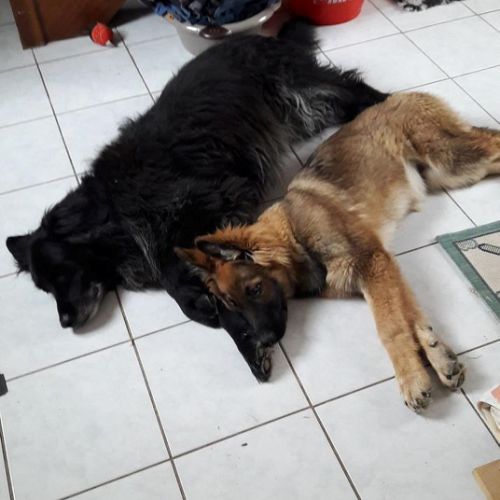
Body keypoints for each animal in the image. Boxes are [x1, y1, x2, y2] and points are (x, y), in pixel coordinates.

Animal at [5, 21, 387, 381]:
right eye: (45, 288)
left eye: (62, 273)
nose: (65, 322)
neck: (111, 208)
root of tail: (260, 37)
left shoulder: (213, 201)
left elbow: (179, 271)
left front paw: (213, 313)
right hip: (302, 113)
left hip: (299, 88)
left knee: (350, 85)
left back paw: (385, 104)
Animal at [176, 92, 500, 409]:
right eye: (232, 304)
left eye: (255, 289)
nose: (265, 342)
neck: (295, 237)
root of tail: (400, 96)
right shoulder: (381, 273)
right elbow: (410, 316)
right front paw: (438, 357)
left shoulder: (373, 263)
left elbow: (390, 327)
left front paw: (410, 379)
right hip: (454, 173)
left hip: (452, 160)